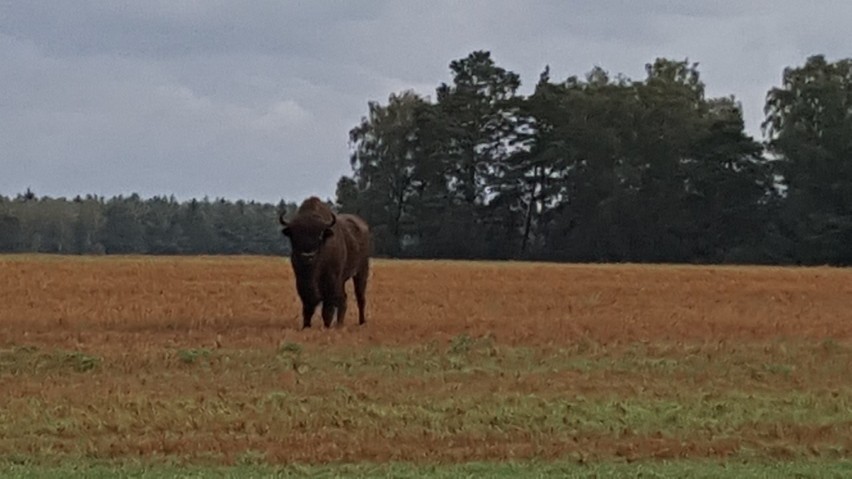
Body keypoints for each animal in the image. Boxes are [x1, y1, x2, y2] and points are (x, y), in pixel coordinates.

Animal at [282, 198, 372, 330]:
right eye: (294, 235)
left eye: (320, 236)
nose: (308, 256)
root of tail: (363, 226)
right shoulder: (301, 280)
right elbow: (307, 306)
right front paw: (306, 326)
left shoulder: (331, 280)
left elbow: (327, 308)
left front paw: (326, 326)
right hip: (343, 280)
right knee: (343, 299)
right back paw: (340, 323)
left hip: (361, 271)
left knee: (360, 297)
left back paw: (361, 322)